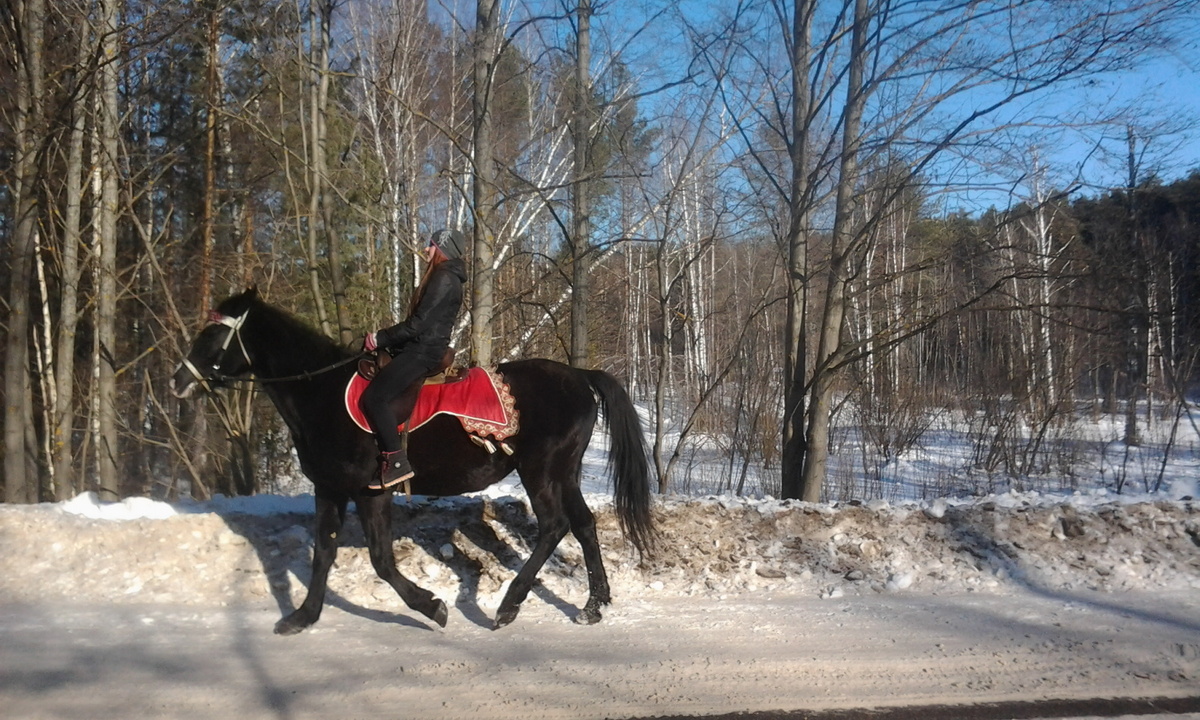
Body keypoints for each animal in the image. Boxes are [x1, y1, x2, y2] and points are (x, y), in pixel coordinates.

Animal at [170, 287, 655, 633]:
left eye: (212, 334)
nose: (177, 381)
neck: (320, 393)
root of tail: (579, 376)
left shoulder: (371, 491)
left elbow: (381, 560)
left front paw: (432, 606)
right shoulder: (330, 488)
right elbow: (323, 553)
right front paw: (302, 617)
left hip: (540, 470)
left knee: (554, 526)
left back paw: (508, 606)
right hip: (564, 471)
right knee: (584, 525)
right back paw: (592, 606)